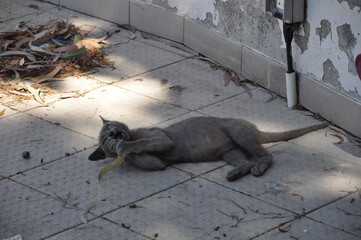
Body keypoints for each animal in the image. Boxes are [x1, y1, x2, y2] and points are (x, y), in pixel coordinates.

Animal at [88, 116, 326, 180]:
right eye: (104, 140)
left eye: (109, 126)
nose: (112, 134)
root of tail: (255, 128)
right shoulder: (156, 162)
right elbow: (141, 156)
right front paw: (119, 152)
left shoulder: (162, 139)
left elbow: (139, 144)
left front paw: (124, 145)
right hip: (230, 152)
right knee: (246, 161)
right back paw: (234, 174)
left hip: (238, 134)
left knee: (266, 154)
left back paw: (257, 169)